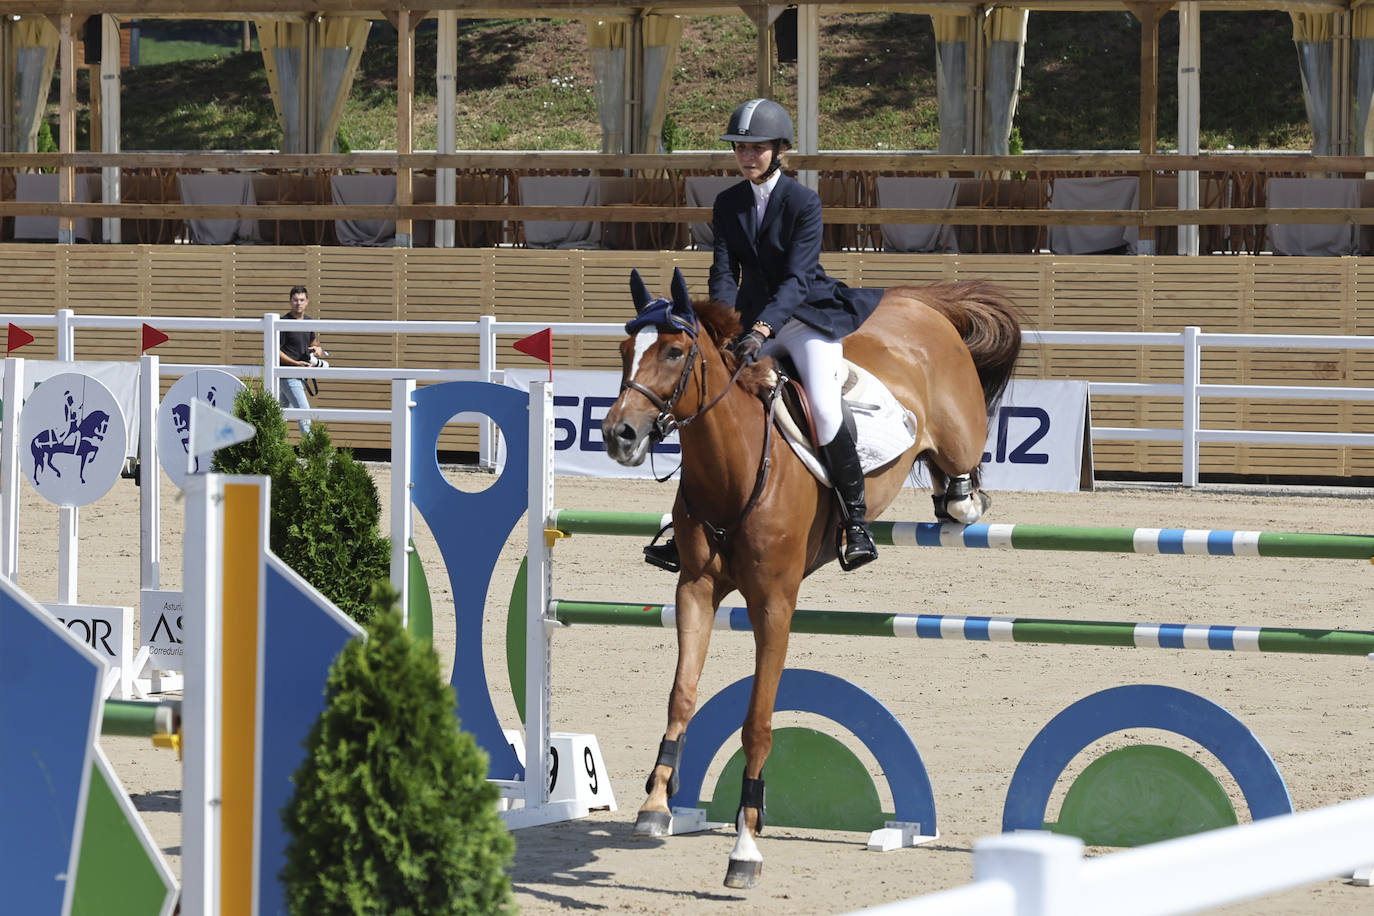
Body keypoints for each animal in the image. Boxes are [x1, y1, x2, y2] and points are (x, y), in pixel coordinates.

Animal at [601, 270, 1022, 889]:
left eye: (674, 352)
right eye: (626, 350)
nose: (619, 436)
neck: (733, 466)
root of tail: (917, 303)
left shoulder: (774, 603)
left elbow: (758, 722)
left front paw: (746, 845)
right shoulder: (695, 590)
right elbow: (681, 694)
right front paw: (655, 804)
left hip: (960, 433)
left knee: (962, 472)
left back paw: (960, 500)